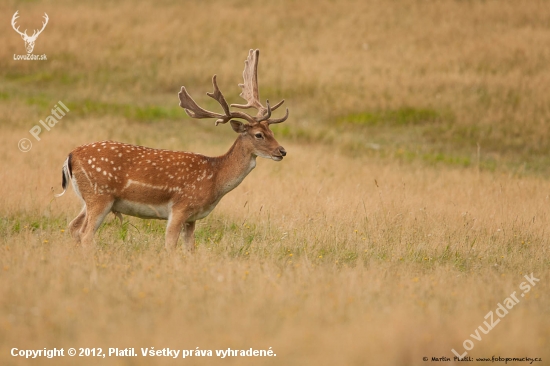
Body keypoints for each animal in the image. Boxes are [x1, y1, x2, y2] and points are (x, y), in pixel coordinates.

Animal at [56, 49, 292, 252]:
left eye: (271, 130)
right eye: (259, 134)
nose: (281, 151)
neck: (215, 178)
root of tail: (70, 156)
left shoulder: (192, 217)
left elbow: (190, 249)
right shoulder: (180, 207)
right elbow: (170, 245)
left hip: (89, 198)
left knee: (73, 227)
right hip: (100, 195)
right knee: (86, 233)